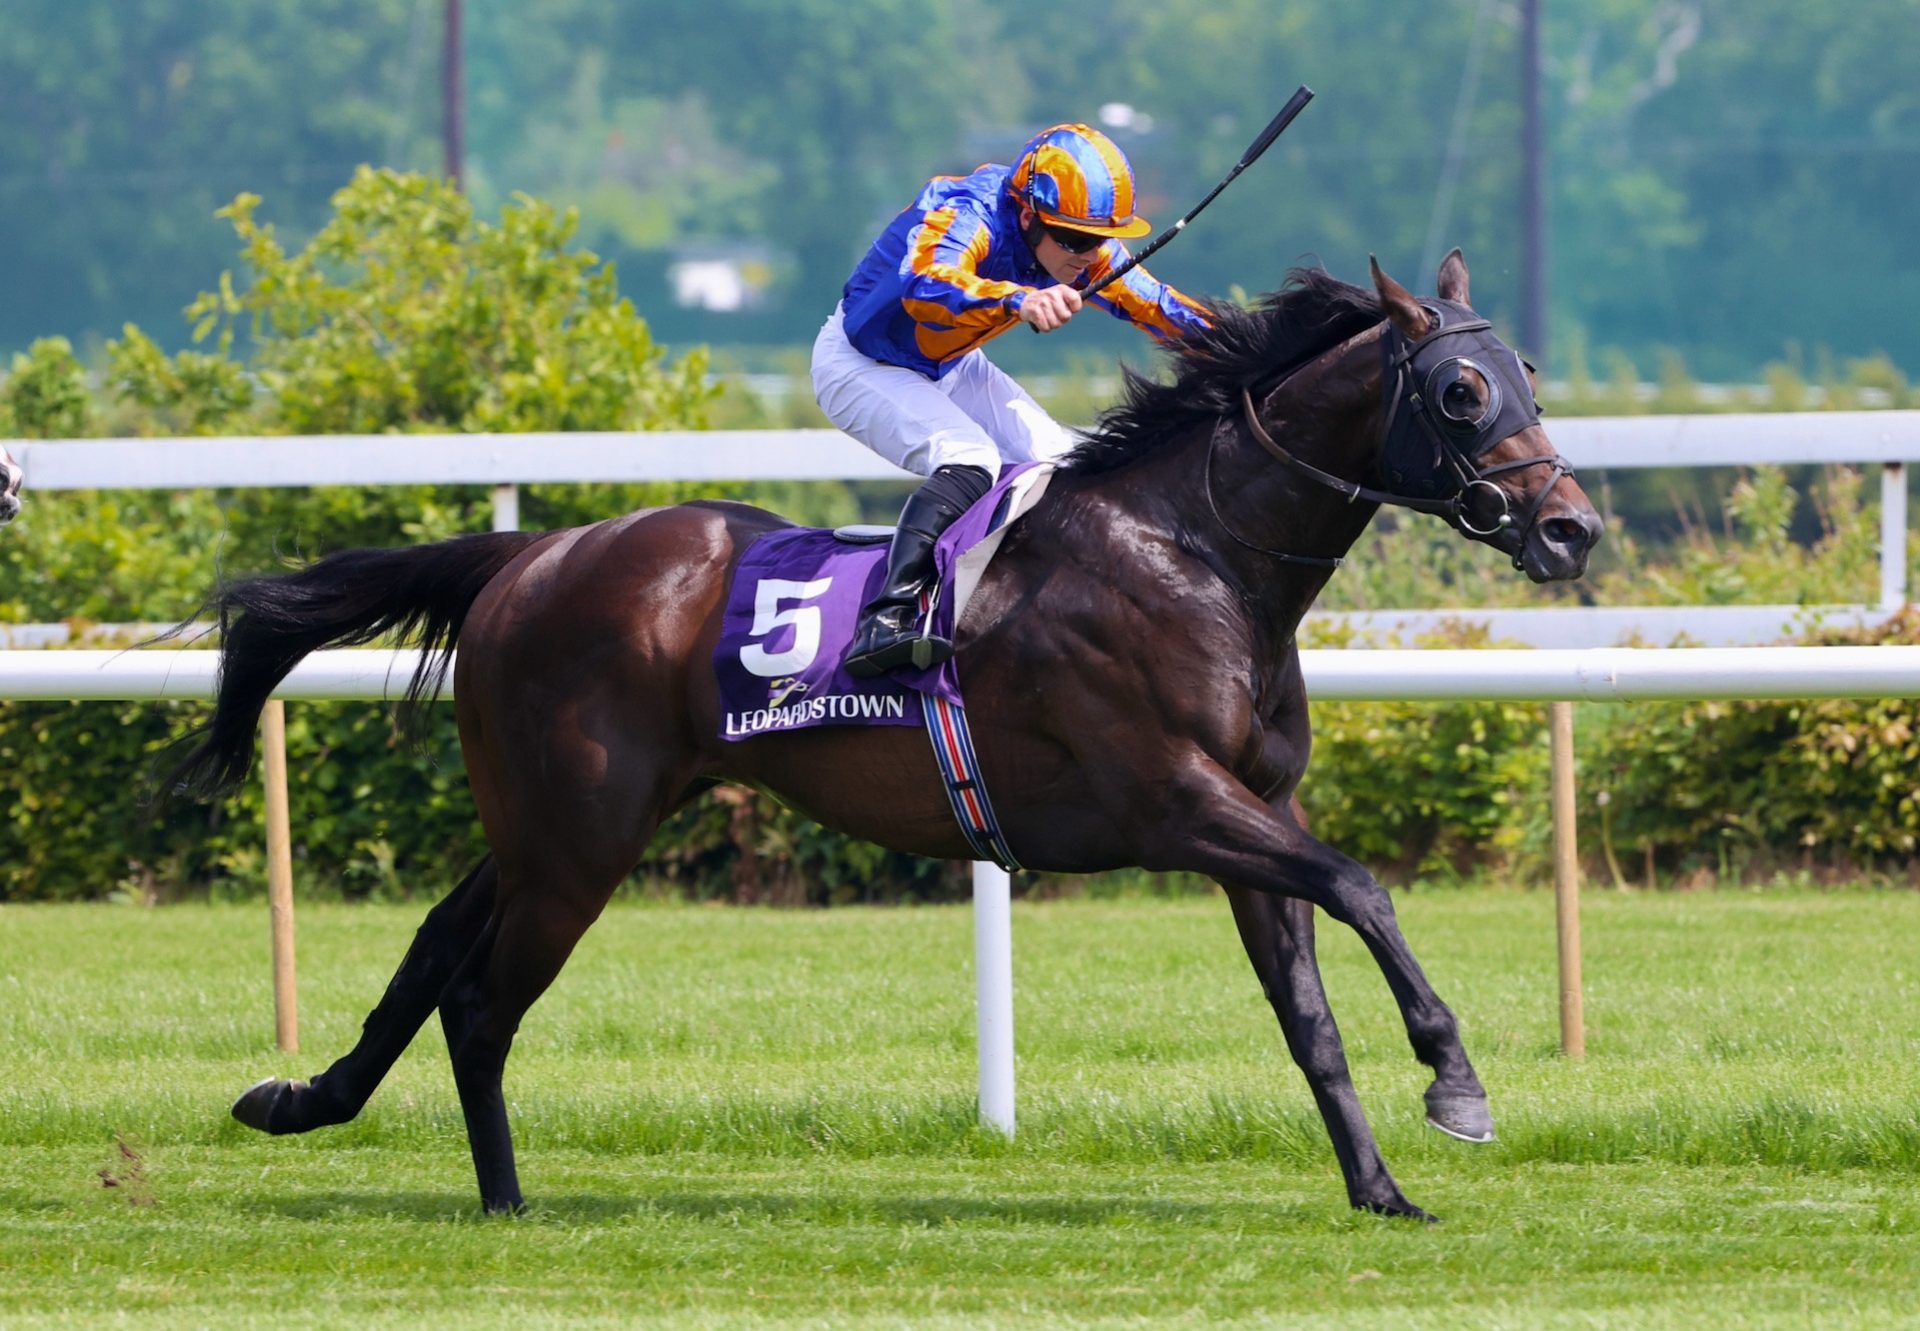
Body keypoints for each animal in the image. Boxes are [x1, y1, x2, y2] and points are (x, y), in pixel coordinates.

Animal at [168, 249, 1605, 1213]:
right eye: (1462, 390)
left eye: (1528, 373)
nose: (1572, 526)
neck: (1195, 550)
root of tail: (528, 554)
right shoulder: (1173, 801)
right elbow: (1364, 886)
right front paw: (1457, 1081)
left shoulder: (1252, 813)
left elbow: (1308, 1005)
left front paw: (1382, 1186)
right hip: (578, 840)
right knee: (478, 994)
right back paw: (505, 1195)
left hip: (558, 822)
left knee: (433, 946)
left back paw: (303, 1098)